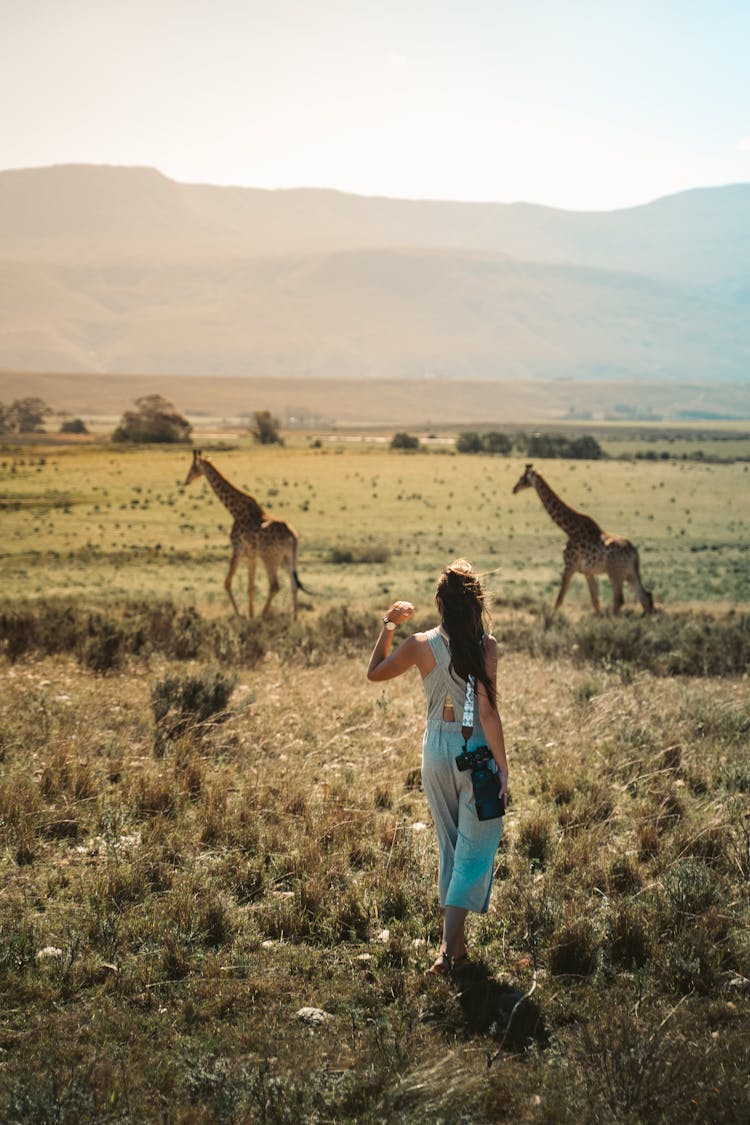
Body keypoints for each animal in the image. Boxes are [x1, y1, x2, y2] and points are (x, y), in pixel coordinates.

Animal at [183, 447, 310, 621]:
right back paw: (294, 619)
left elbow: (227, 582)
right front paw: (250, 615)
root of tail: (293, 537)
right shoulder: (252, 555)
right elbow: (250, 587)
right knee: (294, 584)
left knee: (275, 586)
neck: (235, 511)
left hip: (270, 557)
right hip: (288, 558)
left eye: (193, 467)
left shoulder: (238, 549)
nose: (186, 480)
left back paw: (263, 616)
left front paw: (241, 615)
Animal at [512, 461, 652, 616]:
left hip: (615, 572)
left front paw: (551, 619)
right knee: (645, 596)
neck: (569, 529)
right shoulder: (587, 571)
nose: (514, 489)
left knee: (619, 600)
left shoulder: (570, 566)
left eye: (522, 478)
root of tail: (634, 552)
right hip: (630, 572)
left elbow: (559, 599)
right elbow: (595, 601)